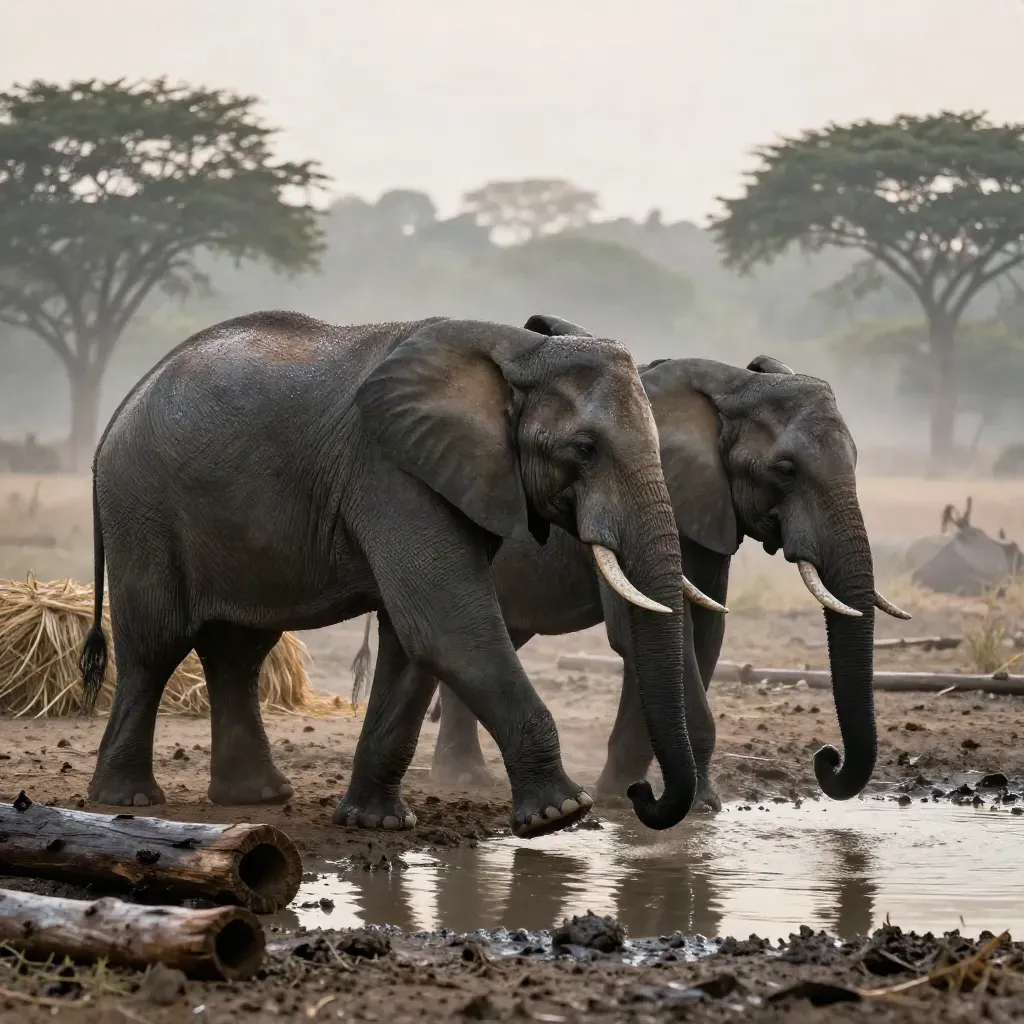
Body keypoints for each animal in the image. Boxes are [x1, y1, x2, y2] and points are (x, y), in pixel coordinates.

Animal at [78, 310, 725, 838]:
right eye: (585, 449)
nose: (641, 795)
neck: (514, 352)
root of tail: (116, 416)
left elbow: (413, 642)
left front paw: (377, 823)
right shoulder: (393, 474)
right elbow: (448, 628)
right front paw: (559, 815)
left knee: (238, 651)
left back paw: (254, 798)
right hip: (143, 508)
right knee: (156, 646)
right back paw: (128, 800)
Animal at [357, 315, 910, 810]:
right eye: (786, 470)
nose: (827, 758)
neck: (729, 385)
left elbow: (700, 634)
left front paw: (622, 795)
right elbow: (654, 633)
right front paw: (695, 805)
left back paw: (466, 776)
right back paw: (465, 780)